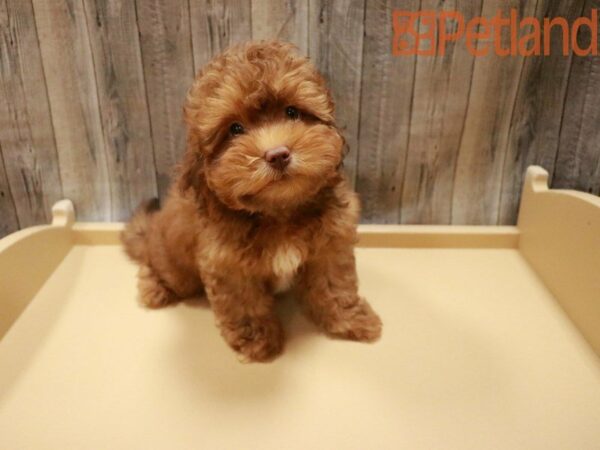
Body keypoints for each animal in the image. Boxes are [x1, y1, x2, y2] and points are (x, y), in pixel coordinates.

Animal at [122, 41, 382, 362]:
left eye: (292, 112)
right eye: (235, 129)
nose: (278, 154)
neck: (277, 210)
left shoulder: (330, 246)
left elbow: (335, 286)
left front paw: (352, 320)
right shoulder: (227, 264)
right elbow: (245, 304)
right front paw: (257, 341)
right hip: (175, 265)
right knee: (156, 265)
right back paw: (154, 288)